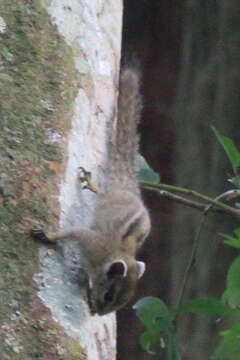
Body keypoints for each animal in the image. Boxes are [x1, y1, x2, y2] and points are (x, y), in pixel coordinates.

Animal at [31, 67, 151, 316]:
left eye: (123, 302)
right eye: (109, 295)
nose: (97, 313)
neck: (113, 255)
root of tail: (128, 187)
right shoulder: (89, 240)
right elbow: (70, 232)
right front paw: (48, 235)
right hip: (107, 196)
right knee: (99, 192)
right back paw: (90, 182)